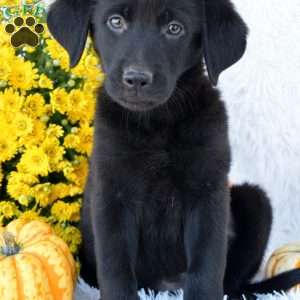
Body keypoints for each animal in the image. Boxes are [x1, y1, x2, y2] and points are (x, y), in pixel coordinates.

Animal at [47, 0, 300, 300]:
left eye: (174, 28)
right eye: (116, 22)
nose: (136, 79)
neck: (158, 122)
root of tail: (165, 287)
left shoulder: (208, 192)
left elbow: (206, 264)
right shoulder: (111, 193)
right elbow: (115, 265)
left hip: (256, 201)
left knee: (233, 280)